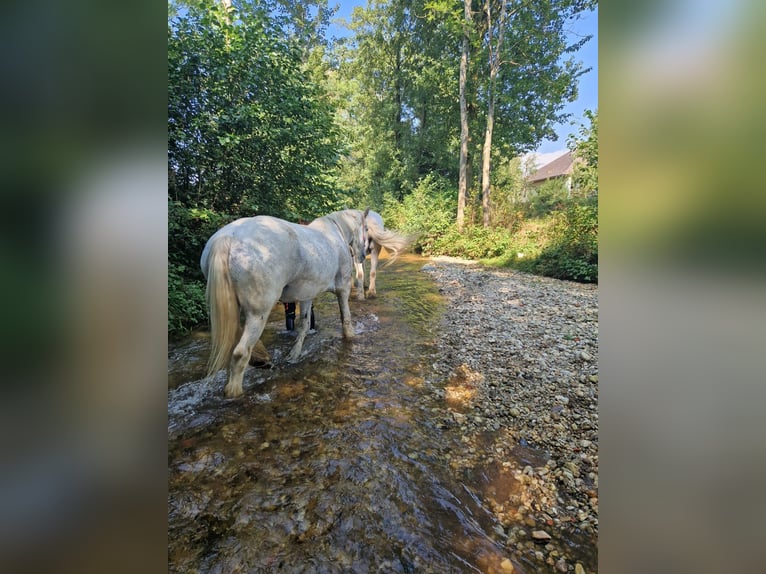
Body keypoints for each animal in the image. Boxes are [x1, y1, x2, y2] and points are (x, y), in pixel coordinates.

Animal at [200, 209, 369, 398]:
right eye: (365, 228)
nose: (363, 255)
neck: (336, 232)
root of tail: (228, 237)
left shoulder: (306, 296)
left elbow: (303, 325)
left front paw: (294, 355)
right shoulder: (343, 288)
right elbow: (345, 317)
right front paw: (351, 337)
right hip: (258, 314)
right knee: (240, 352)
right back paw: (235, 390)